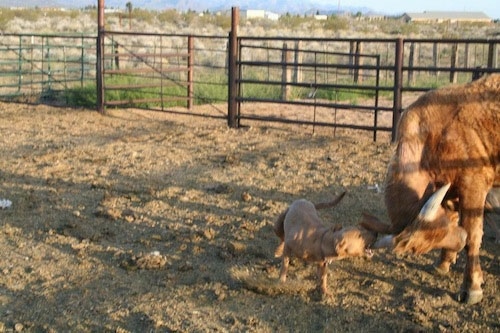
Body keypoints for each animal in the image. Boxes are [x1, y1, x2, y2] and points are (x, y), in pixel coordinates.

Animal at [362, 74, 498, 304]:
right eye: (421, 246)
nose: (459, 241)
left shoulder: (473, 187)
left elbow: (473, 234)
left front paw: (471, 285)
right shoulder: (449, 193)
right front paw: (444, 262)